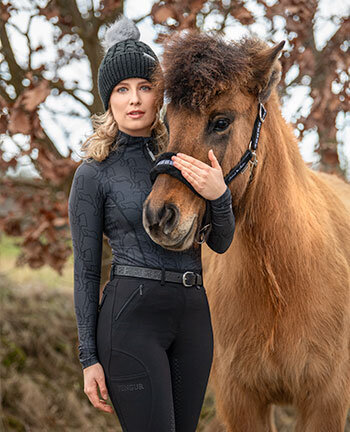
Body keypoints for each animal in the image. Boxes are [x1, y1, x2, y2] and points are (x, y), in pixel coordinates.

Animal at [142, 31, 350, 432]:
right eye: (169, 123)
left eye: (221, 122)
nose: (160, 216)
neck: (281, 282)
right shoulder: (242, 402)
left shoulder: (325, 403)